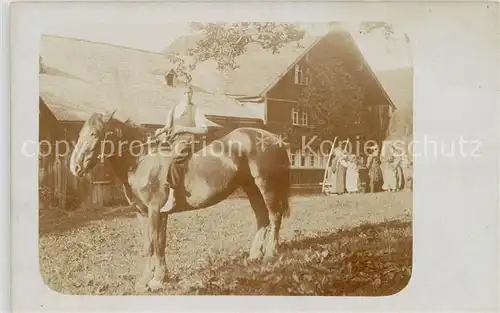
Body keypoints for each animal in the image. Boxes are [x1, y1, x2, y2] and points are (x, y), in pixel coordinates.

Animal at [68, 111, 292, 292]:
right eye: (79, 134)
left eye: (94, 134)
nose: (75, 167)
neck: (142, 160)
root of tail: (274, 138)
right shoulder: (145, 213)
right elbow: (152, 245)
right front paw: (148, 280)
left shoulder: (154, 211)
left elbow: (155, 244)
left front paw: (156, 280)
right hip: (250, 188)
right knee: (262, 218)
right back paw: (254, 256)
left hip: (266, 185)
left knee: (274, 217)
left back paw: (270, 254)